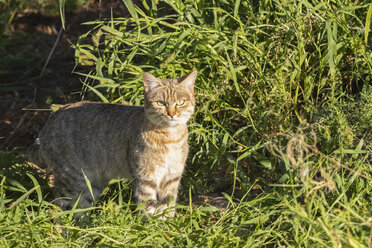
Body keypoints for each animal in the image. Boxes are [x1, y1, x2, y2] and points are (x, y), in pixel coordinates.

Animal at [33, 70, 198, 217]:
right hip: (74, 180)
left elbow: (167, 207)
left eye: (181, 102)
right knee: (62, 207)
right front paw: (150, 227)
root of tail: (46, 126)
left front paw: (167, 227)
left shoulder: (171, 178)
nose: (171, 114)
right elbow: (148, 208)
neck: (170, 137)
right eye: (161, 103)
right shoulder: (146, 178)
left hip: (93, 184)